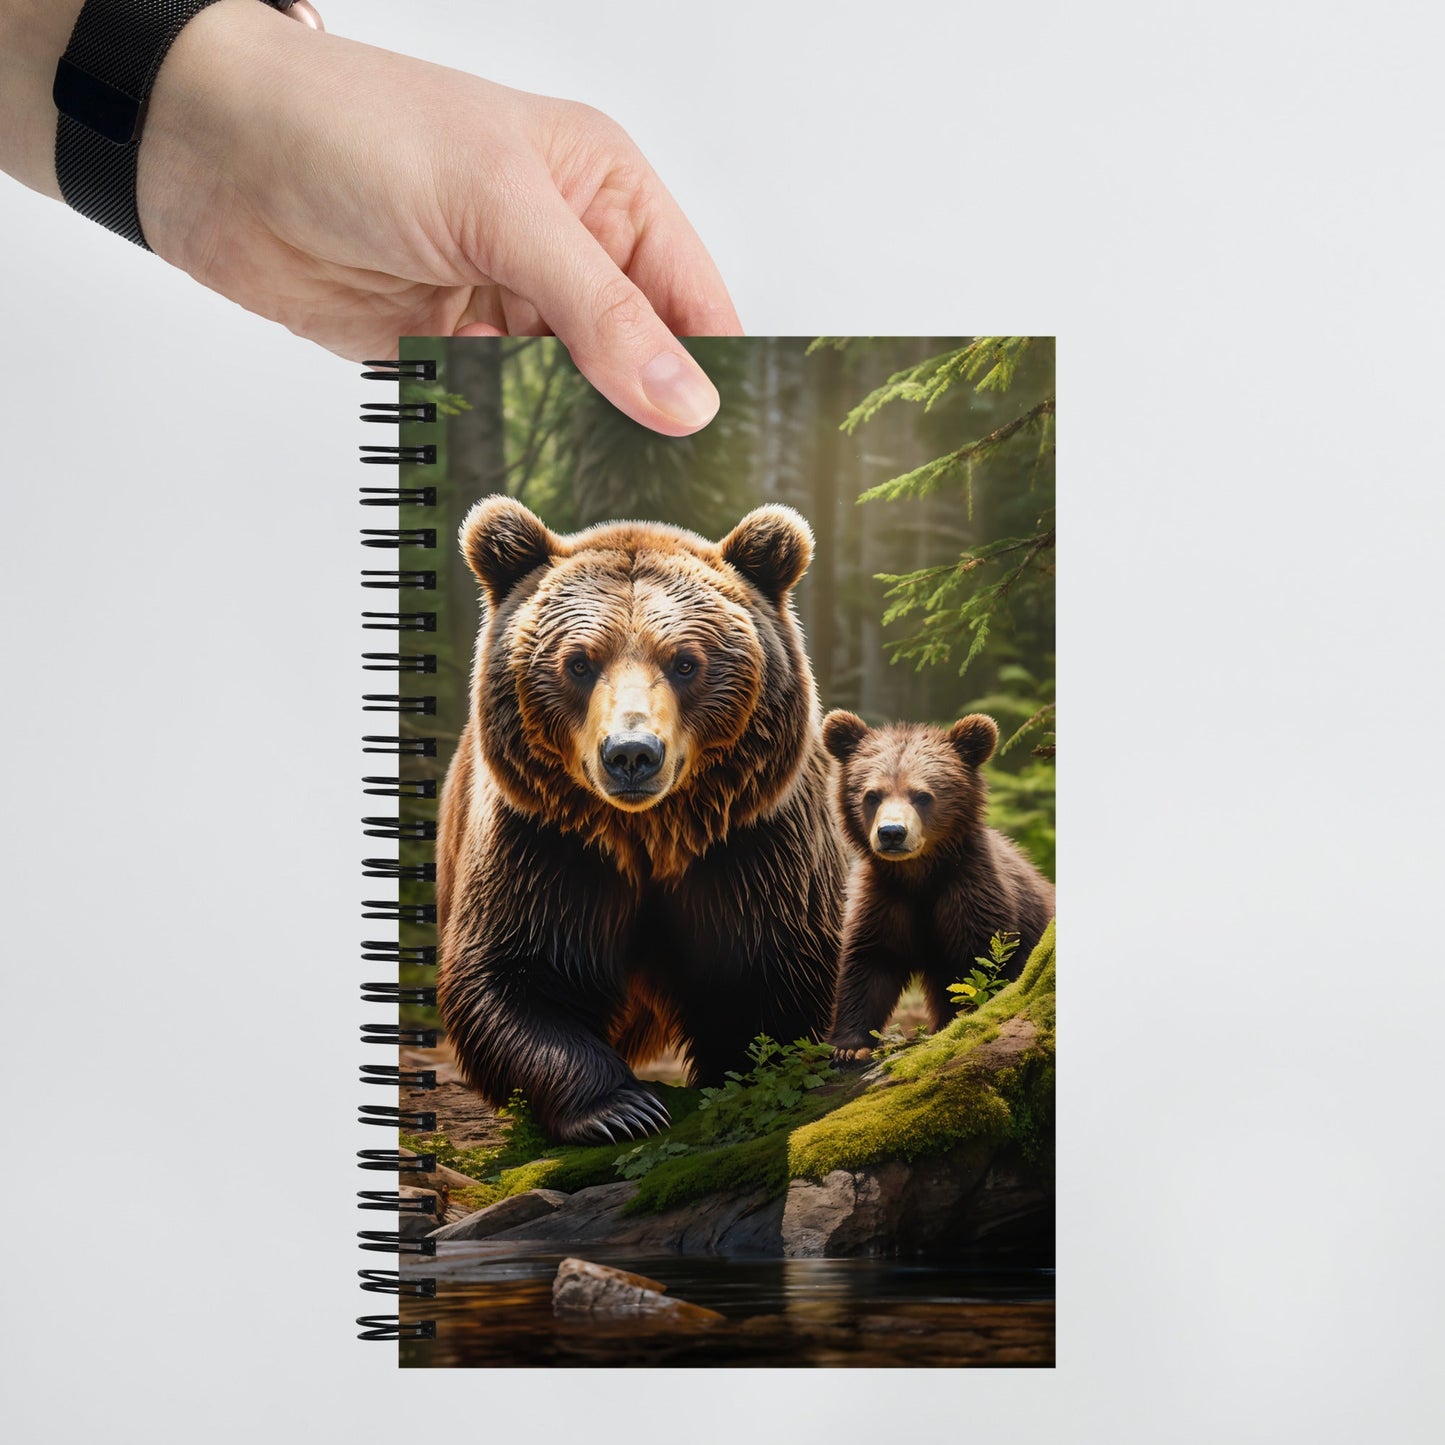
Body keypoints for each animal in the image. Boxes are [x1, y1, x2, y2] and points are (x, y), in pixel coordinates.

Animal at [435, 496, 848, 1144]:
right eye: (579, 663)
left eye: (685, 662)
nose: (631, 753)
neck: (650, 833)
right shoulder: (544, 842)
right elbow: (510, 975)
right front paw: (622, 1109)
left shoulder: (752, 844)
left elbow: (770, 975)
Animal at [819, 710, 1055, 1060]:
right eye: (871, 795)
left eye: (922, 795)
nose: (892, 833)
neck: (919, 874)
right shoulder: (884, 898)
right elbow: (870, 963)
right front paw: (850, 1046)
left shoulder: (971, 892)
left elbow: (981, 968)